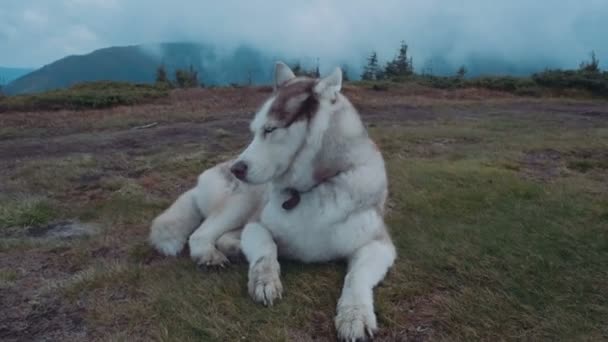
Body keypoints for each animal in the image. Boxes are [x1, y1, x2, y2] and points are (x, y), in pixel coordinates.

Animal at [150, 62, 396, 340]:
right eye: (254, 131)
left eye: (270, 129)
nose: (237, 169)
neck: (312, 189)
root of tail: (205, 176)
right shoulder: (257, 223)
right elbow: (265, 251)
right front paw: (265, 280)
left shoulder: (379, 245)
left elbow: (356, 276)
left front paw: (355, 315)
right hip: (244, 199)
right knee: (201, 234)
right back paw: (211, 255)